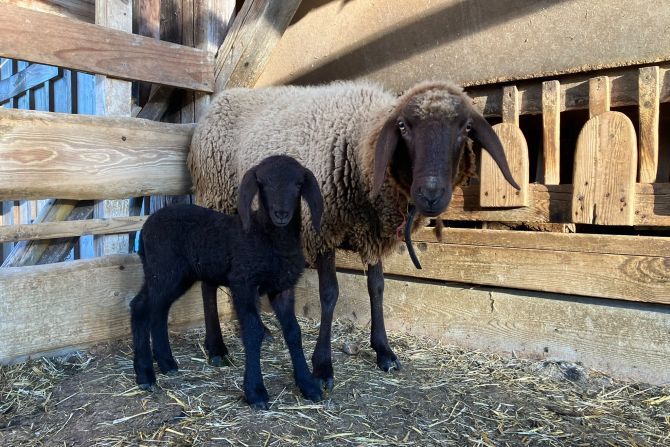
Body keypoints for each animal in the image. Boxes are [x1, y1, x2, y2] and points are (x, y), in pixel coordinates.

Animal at [130, 155, 324, 409]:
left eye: (298, 184)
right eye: (264, 184)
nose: (281, 214)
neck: (269, 239)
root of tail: (145, 227)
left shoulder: (283, 288)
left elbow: (293, 332)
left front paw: (309, 385)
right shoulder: (243, 283)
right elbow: (253, 331)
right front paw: (256, 392)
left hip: (171, 275)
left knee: (157, 309)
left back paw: (166, 363)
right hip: (163, 270)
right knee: (141, 307)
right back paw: (145, 374)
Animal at [188, 80, 519, 391]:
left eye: (465, 127)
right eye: (403, 127)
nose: (431, 194)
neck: (359, 145)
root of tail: (221, 99)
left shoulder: (371, 234)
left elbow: (377, 288)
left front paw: (384, 351)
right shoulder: (322, 229)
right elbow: (329, 294)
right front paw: (322, 366)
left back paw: (261, 331)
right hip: (216, 199)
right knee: (208, 279)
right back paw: (216, 348)